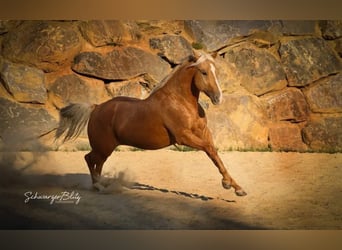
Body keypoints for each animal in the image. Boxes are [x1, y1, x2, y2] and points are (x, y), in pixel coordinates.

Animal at [55, 50, 246, 195]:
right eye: (204, 72)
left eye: (216, 72)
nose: (218, 98)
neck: (181, 101)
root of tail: (96, 107)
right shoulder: (184, 137)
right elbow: (210, 150)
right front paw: (229, 185)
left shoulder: (204, 132)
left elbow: (215, 154)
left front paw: (236, 187)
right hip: (103, 146)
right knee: (89, 158)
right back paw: (98, 186)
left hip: (105, 148)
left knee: (98, 162)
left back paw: (100, 185)